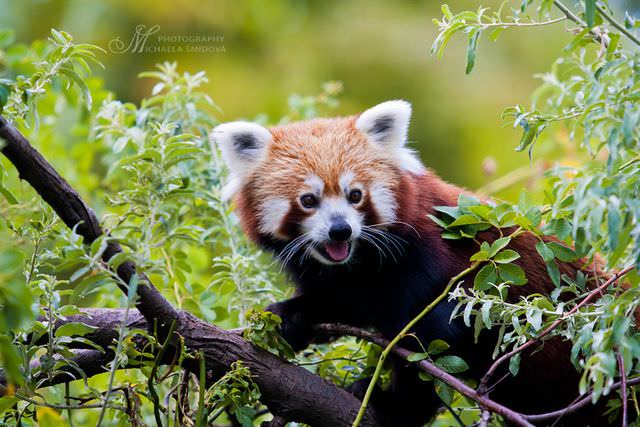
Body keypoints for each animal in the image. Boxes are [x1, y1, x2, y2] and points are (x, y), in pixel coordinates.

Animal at [214, 101, 608, 427]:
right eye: (308, 200)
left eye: (355, 195)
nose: (340, 230)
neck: (360, 261)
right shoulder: (348, 280)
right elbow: (342, 304)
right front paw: (289, 316)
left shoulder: (431, 262)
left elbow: (431, 341)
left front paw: (393, 404)